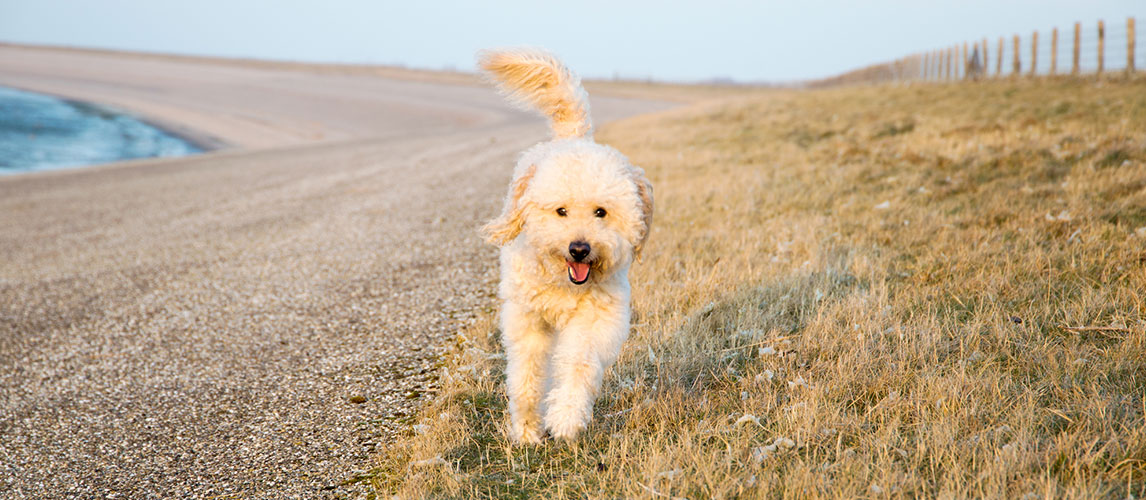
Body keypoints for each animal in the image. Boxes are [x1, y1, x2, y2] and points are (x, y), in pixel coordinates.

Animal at [476, 48, 655, 442]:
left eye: (601, 212)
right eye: (561, 211)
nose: (579, 249)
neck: (563, 283)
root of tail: (574, 138)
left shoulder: (594, 319)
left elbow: (578, 364)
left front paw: (566, 417)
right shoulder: (527, 319)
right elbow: (527, 375)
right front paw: (527, 429)